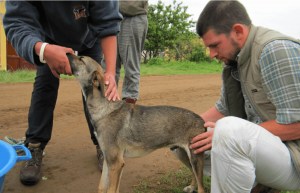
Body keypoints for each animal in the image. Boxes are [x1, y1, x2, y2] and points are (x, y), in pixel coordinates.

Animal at [67, 53, 206, 192]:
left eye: (81, 59)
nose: (67, 53)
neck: (105, 109)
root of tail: (202, 121)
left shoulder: (116, 163)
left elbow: (110, 189)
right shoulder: (108, 160)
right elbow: (102, 187)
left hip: (195, 157)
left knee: (202, 187)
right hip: (182, 154)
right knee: (193, 174)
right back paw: (191, 187)